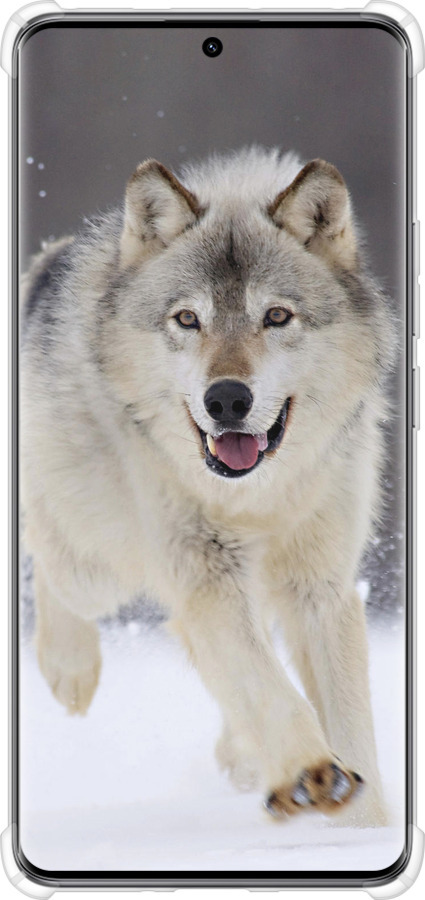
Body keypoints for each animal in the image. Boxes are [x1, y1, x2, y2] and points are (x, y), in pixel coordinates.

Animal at [20, 147, 395, 826]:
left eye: (276, 316)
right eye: (188, 319)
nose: (226, 399)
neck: (257, 498)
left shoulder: (320, 586)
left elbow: (349, 722)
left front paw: (364, 826)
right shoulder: (205, 574)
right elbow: (269, 687)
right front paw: (310, 773)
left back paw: (243, 757)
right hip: (99, 565)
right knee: (47, 553)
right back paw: (70, 670)